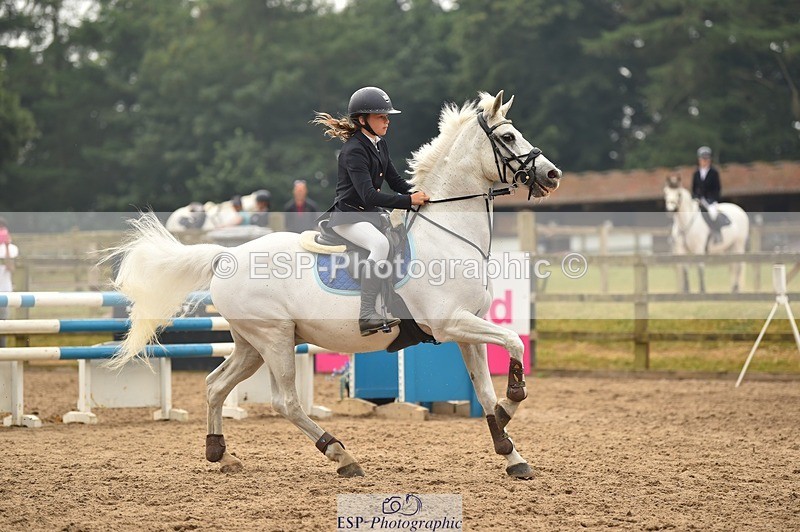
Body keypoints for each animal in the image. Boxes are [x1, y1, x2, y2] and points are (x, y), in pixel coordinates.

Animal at [105, 91, 562, 479]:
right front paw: (513, 401)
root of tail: (225, 256)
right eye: (507, 136)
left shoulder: (468, 329)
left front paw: (511, 451)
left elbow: (485, 390)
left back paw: (221, 452)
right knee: (285, 402)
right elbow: (514, 345)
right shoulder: (451, 323)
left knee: (215, 384)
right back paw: (341, 455)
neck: (447, 234)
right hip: (274, 339)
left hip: (252, 342)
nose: (552, 174)